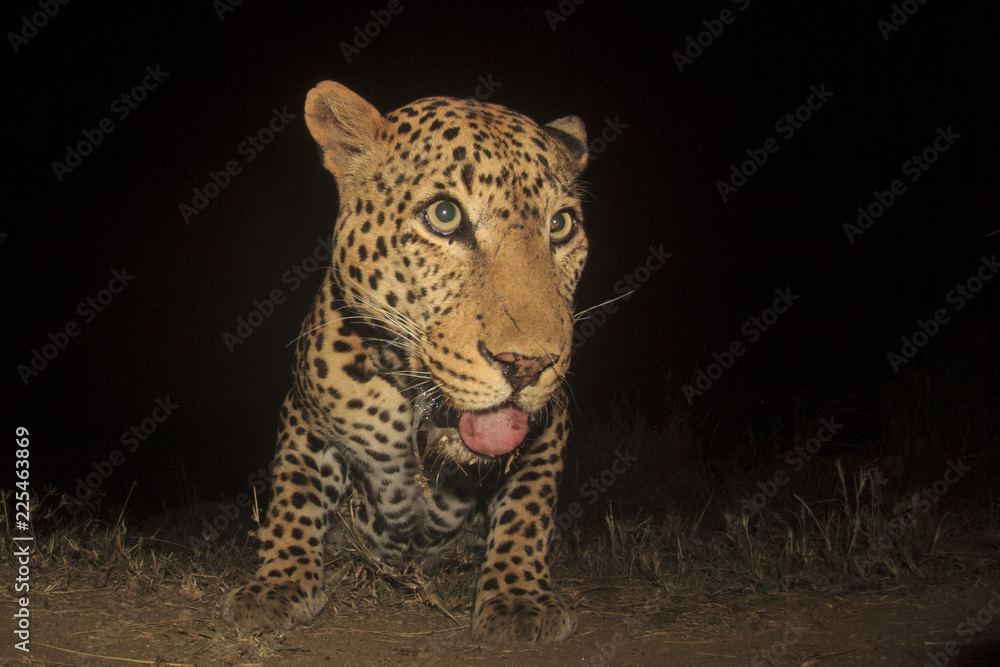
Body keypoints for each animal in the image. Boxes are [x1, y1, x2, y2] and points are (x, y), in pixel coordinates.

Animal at [220, 81, 589, 644]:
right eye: (445, 215)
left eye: (561, 225)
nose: (529, 365)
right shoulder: (305, 415)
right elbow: (293, 500)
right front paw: (276, 585)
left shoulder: (549, 424)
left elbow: (526, 511)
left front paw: (518, 599)